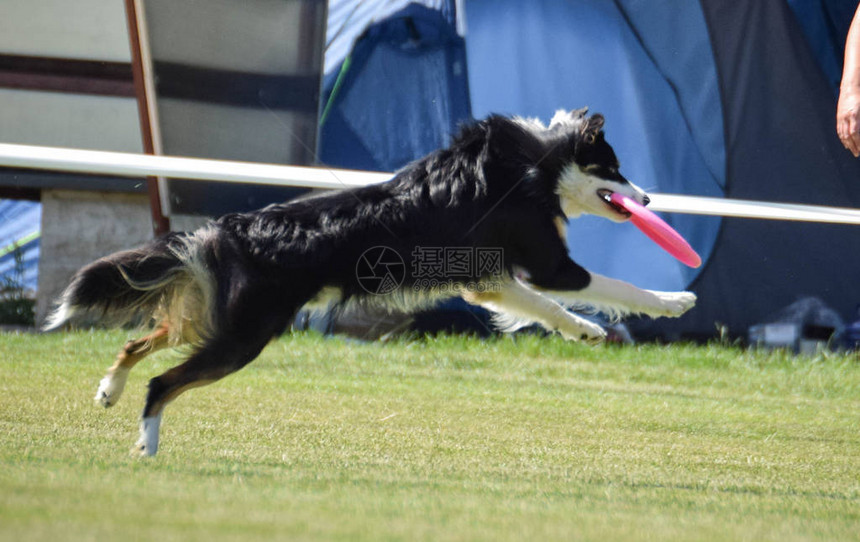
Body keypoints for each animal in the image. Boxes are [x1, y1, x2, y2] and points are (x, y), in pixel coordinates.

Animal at [43, 108, 696, 456]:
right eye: (615, 169)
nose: (648, 200)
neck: (539, 161)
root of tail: (227, 229)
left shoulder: (489, 278)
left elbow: (549, 308)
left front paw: (582, 332)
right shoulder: (547, 264)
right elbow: (616, 287)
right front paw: (674, 301)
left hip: (217, 319)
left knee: (139, 340)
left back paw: (108, 391)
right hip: (242, 338)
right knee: (164, 380)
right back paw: (147, 442)